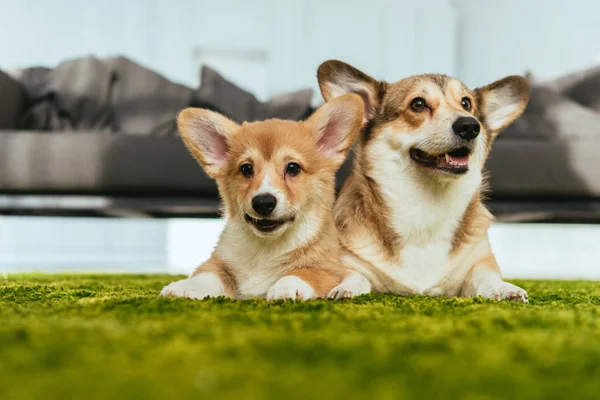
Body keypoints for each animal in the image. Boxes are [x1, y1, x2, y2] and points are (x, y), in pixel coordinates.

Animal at [161, 93, 366, 300]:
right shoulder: (218, 262)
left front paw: (285, 288)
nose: (263, 202)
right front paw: (183, 287)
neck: (266, 248)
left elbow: (302, 273)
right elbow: (206, 275)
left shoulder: (327, 269)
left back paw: (345, 290)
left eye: (293, 168)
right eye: (246, 169)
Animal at [318, 60, 528, 304]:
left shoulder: (479, 262)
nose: (470, 126)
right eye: (418, 104)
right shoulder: (349, 262)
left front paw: (504, 289)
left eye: (466, 103)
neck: (426, 205)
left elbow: (486, 277)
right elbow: (353, 275)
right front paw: (345, 288)